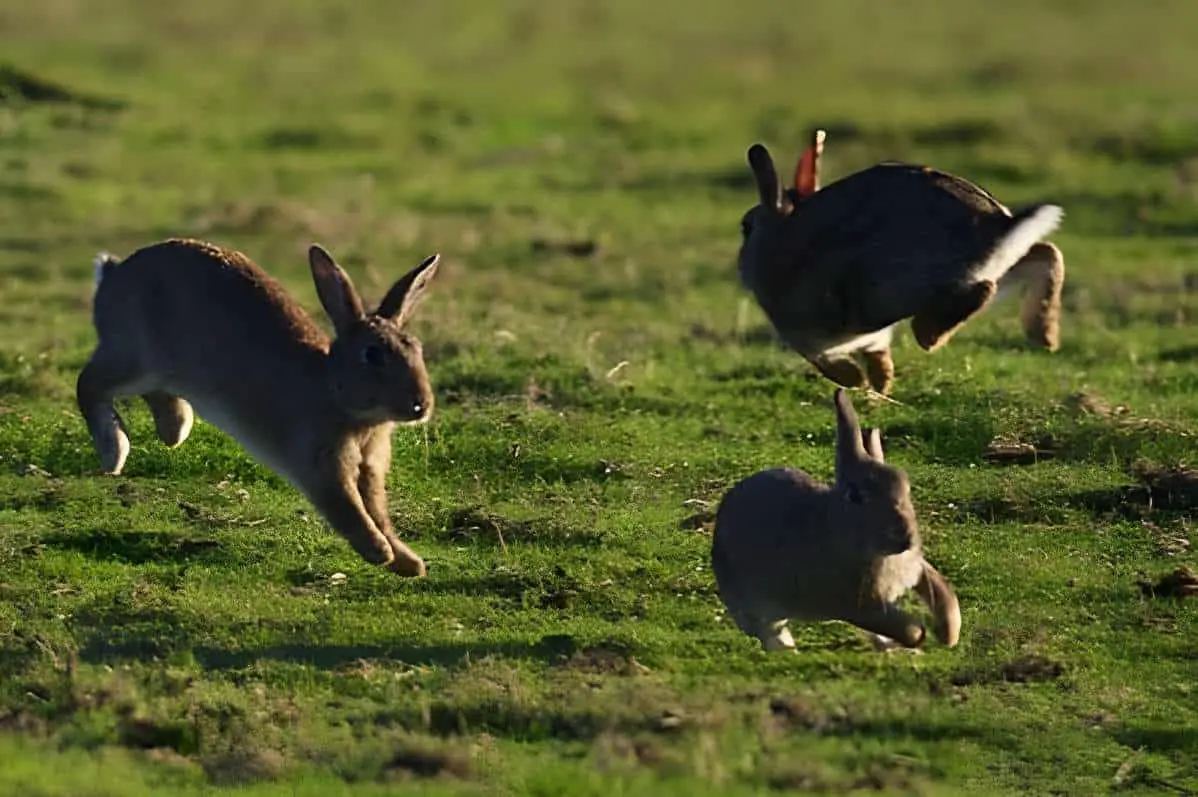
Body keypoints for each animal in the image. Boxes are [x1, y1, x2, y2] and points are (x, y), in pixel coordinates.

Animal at [80, 237, 445, 577]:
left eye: (416, 348)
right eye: (372, 354)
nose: (421, 405)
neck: (336, 394)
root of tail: (112, 278)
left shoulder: (369, 469)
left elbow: (378, 512)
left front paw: (409, 563)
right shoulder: (322, 466)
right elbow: (349, 510)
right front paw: (381, 553)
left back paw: (174, 427)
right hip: (133, 359)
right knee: (88, 384)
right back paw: (114, 450)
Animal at [709, 385, 963, 651]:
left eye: (905, 486)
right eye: (855, 495)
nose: (906, 537)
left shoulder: (914, 569)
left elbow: (942, 591)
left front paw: (949, 634)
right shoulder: (853, 603)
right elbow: (901, 626)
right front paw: (920, 634)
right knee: (770, 631)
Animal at [737, 128, 1068, 397]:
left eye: (746, 227)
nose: (741, 266)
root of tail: (996, 225)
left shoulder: (810, 338)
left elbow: (831, 363)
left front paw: (856, 382)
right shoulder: (866, 341)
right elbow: (877, 356)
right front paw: (880, 387)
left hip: (888, 289)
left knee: (976, 294)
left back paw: (929, 338)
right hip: (1002, 265)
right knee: (1046, 254)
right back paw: (1045, 336)